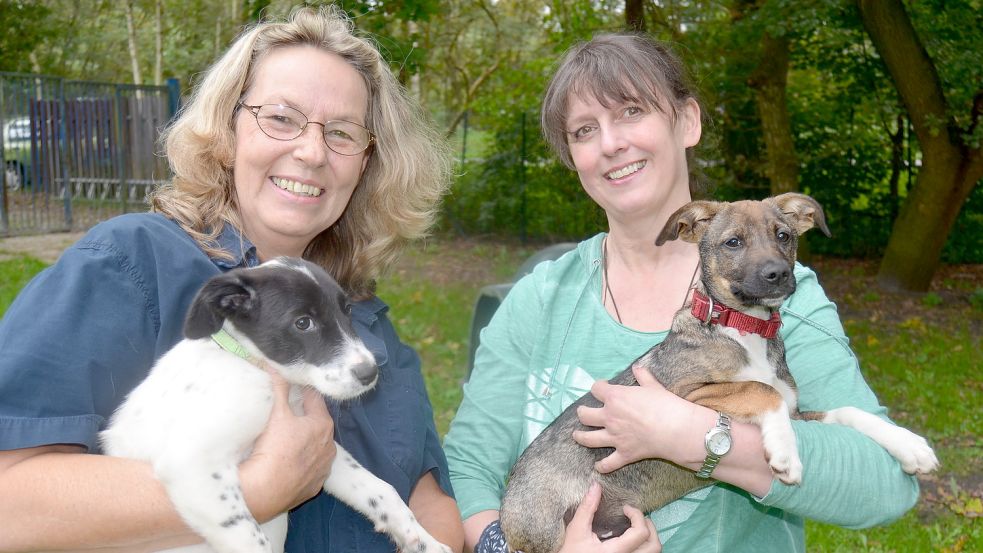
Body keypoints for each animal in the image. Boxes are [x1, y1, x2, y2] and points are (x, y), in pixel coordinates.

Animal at [100, 256, 454, 548]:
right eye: (303, 323)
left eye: (348, 310)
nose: (370, 373)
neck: (254, 367)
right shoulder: (193, 465)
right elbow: (251, 539)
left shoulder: (325, 452)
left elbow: (380, 489)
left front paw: (423, 540)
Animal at [500, 193, 936, 552]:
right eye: (733, 242)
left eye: (783, 235)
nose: (779, 274)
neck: (745, 328)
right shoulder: (684, 395)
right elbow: (761, 389)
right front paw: (785, 453)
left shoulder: (797, 412)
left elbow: (848, 411)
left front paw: (911, 446)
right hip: (545, 536)